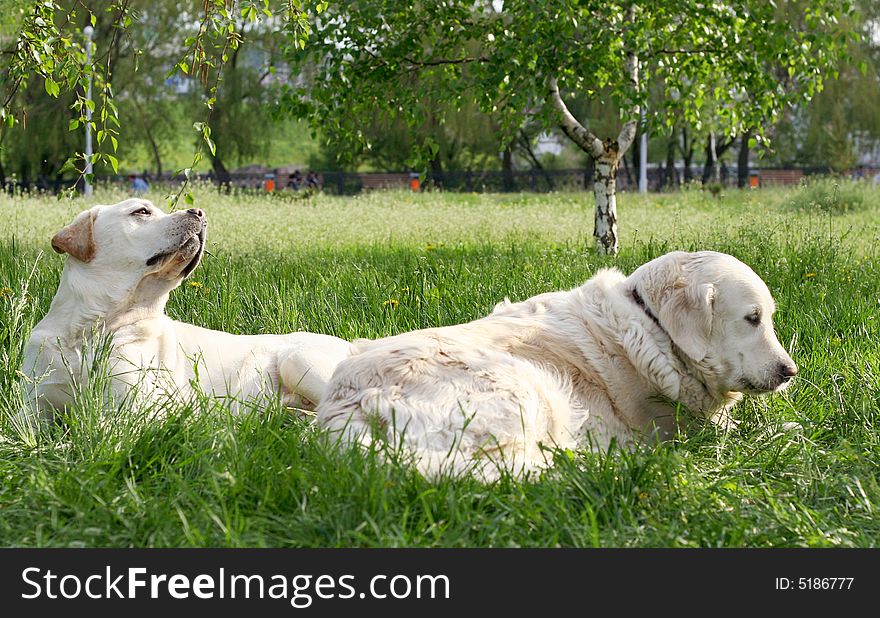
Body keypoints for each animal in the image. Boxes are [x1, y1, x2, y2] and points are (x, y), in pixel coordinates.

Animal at [21, 197, 350, 418]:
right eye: (141, 211)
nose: (200, 212)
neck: (90, 331)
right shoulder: (32, 408)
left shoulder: (132, 410)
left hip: (298, 360)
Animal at [316, 249, 796, 476]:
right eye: (753, 318)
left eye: (768, 317)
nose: (790, 372)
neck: (652, 327)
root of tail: (346, 407)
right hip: (525, 386)